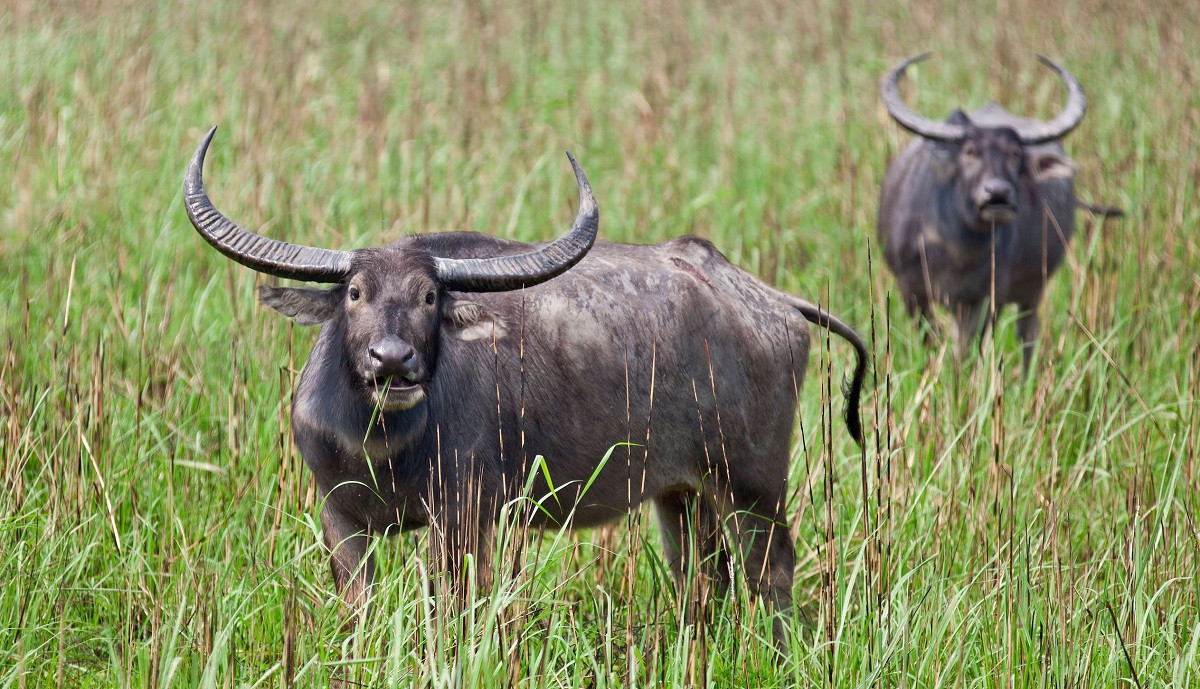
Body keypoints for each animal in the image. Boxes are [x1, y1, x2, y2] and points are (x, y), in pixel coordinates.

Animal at [182, 127, 868, 643]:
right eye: (354, 293)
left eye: (430, 296)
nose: (393, 361)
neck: (383, 446)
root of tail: (766, 299)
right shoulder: (340, 517)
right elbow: (361, 613)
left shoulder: (463, 517)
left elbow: (452, 610)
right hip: (680, 491)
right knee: (703, 577)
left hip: (752, 482)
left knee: (770, 573)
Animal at [873, 54, 1113, 374]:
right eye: (970, 152)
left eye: (1015, 154)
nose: (997, 194)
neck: (956, 252)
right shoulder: (912, 290)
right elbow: (930, 340)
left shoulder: (984, 298)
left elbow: (967, 349)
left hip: (1033, 290)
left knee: (1027, 333)